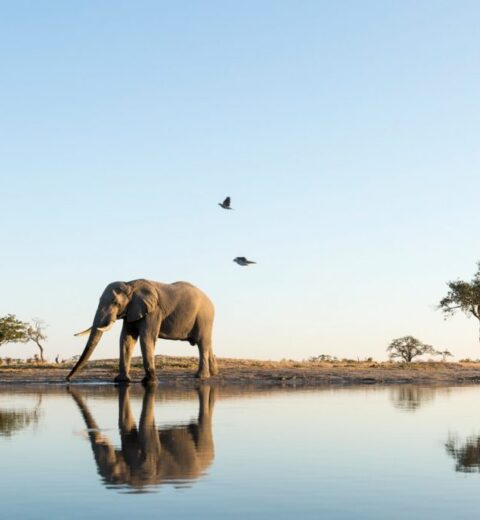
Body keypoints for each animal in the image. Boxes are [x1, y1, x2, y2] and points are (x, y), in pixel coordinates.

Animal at [66, 278, 217, 384]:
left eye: (116, 303)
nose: (67, 379)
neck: (130, 285)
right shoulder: (131, 311)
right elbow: (126, 339)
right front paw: (121, 380)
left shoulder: (153, 311)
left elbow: (146, 337)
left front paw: (150, 381)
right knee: (207, 343)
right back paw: (214, 373)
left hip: (204, 317)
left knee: (202, 343)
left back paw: (201, 376)